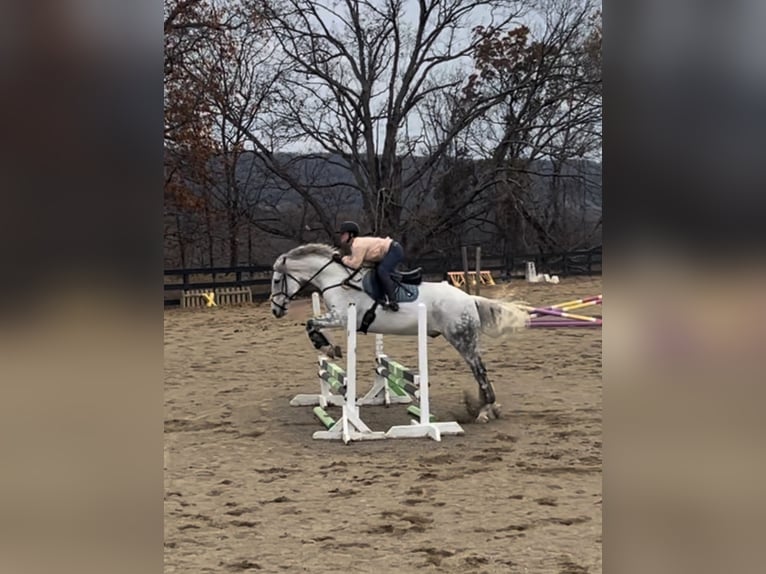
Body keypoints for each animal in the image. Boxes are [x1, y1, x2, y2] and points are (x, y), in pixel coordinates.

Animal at [269, 243, 529, 423]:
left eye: (276, 280)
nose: (275, 310)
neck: (336, 280)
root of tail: (470, 299)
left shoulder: (341, 318)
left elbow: (311, 324)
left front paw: (327, 347)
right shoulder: (337, 318)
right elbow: (313, 324)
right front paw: (330, 348)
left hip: (461, 339)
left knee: (480, 371)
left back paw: (484, 411)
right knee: (479, 371)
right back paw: (486, 408)